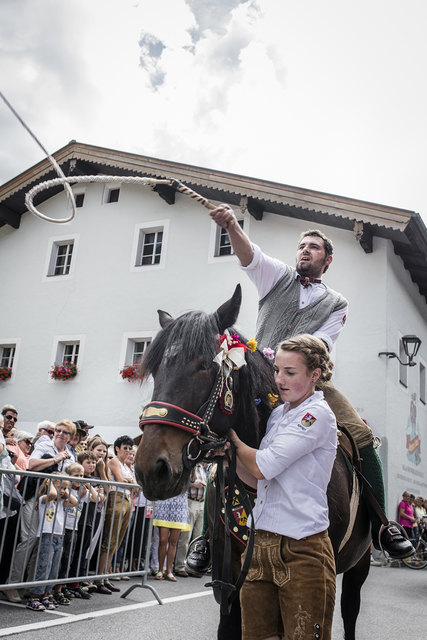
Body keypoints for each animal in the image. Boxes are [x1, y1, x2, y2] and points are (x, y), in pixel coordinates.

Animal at [135, 286, 372, 640]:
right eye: (154, 369)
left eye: (204, 365)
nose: (152, 469)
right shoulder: (228, 578)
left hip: (361, 564)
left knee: (351, 609)